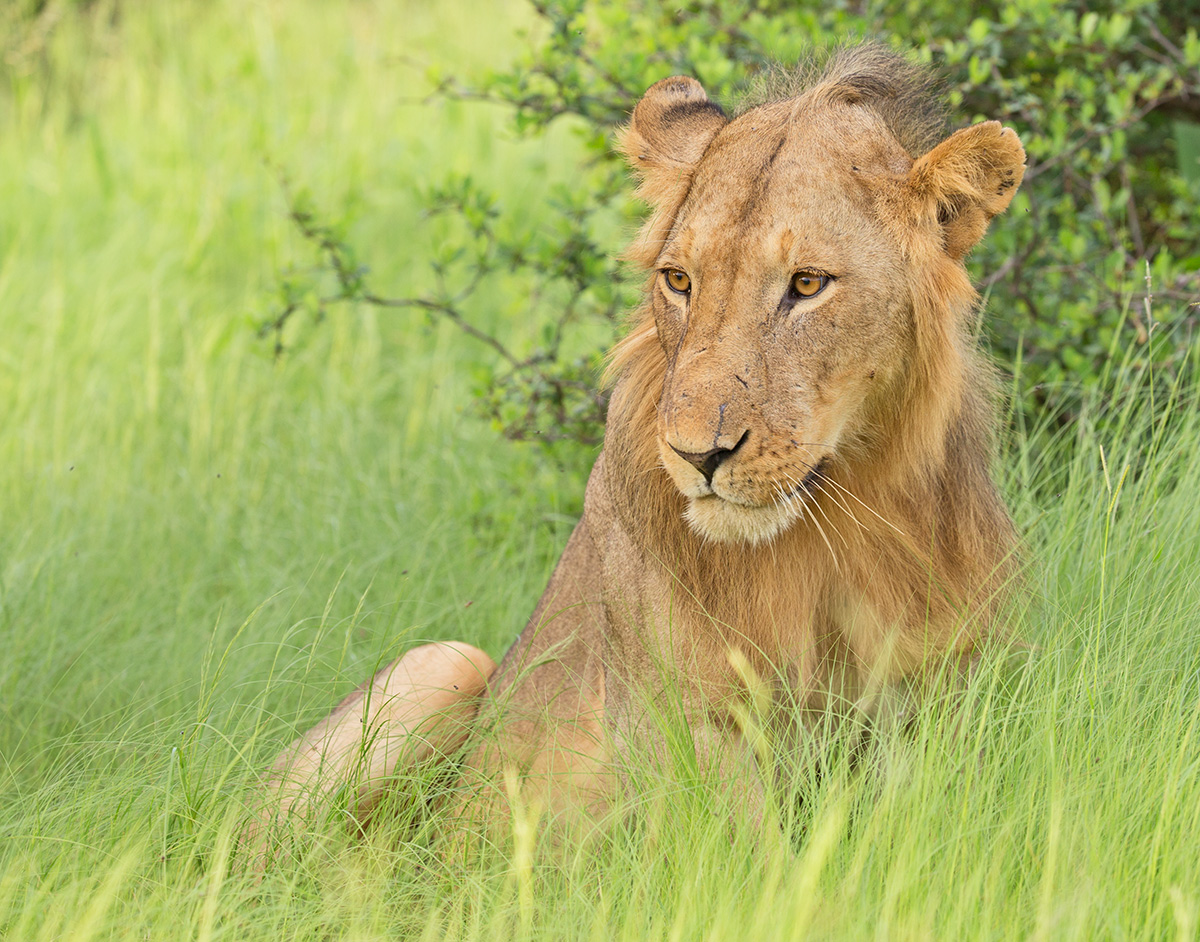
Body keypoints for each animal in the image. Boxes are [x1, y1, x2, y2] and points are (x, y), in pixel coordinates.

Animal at [249, 45, 1026, 853]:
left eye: (808, 283)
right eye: (678, 279)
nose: (696, 456)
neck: (832, 533)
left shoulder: (930, 706)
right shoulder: (687, 725)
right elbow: (760, 861)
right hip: (447, 665)